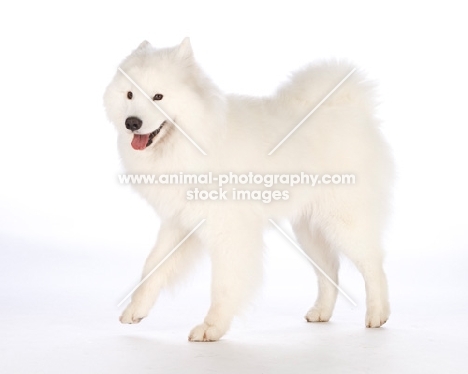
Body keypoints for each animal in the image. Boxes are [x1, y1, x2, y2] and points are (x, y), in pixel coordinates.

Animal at [104, 38, 394, 342]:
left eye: (158, 97)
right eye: (129, 94)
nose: (132, 122)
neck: (194, 141)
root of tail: (351, 107)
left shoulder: (229, 230)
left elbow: (223, 284)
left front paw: (212, 327)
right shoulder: (179, 224)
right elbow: (152, 267)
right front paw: (135, 309)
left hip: (344, 222)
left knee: (373, 265)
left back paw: (377, 314)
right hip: (309, 230)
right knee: (330, 272)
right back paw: (321, 312)